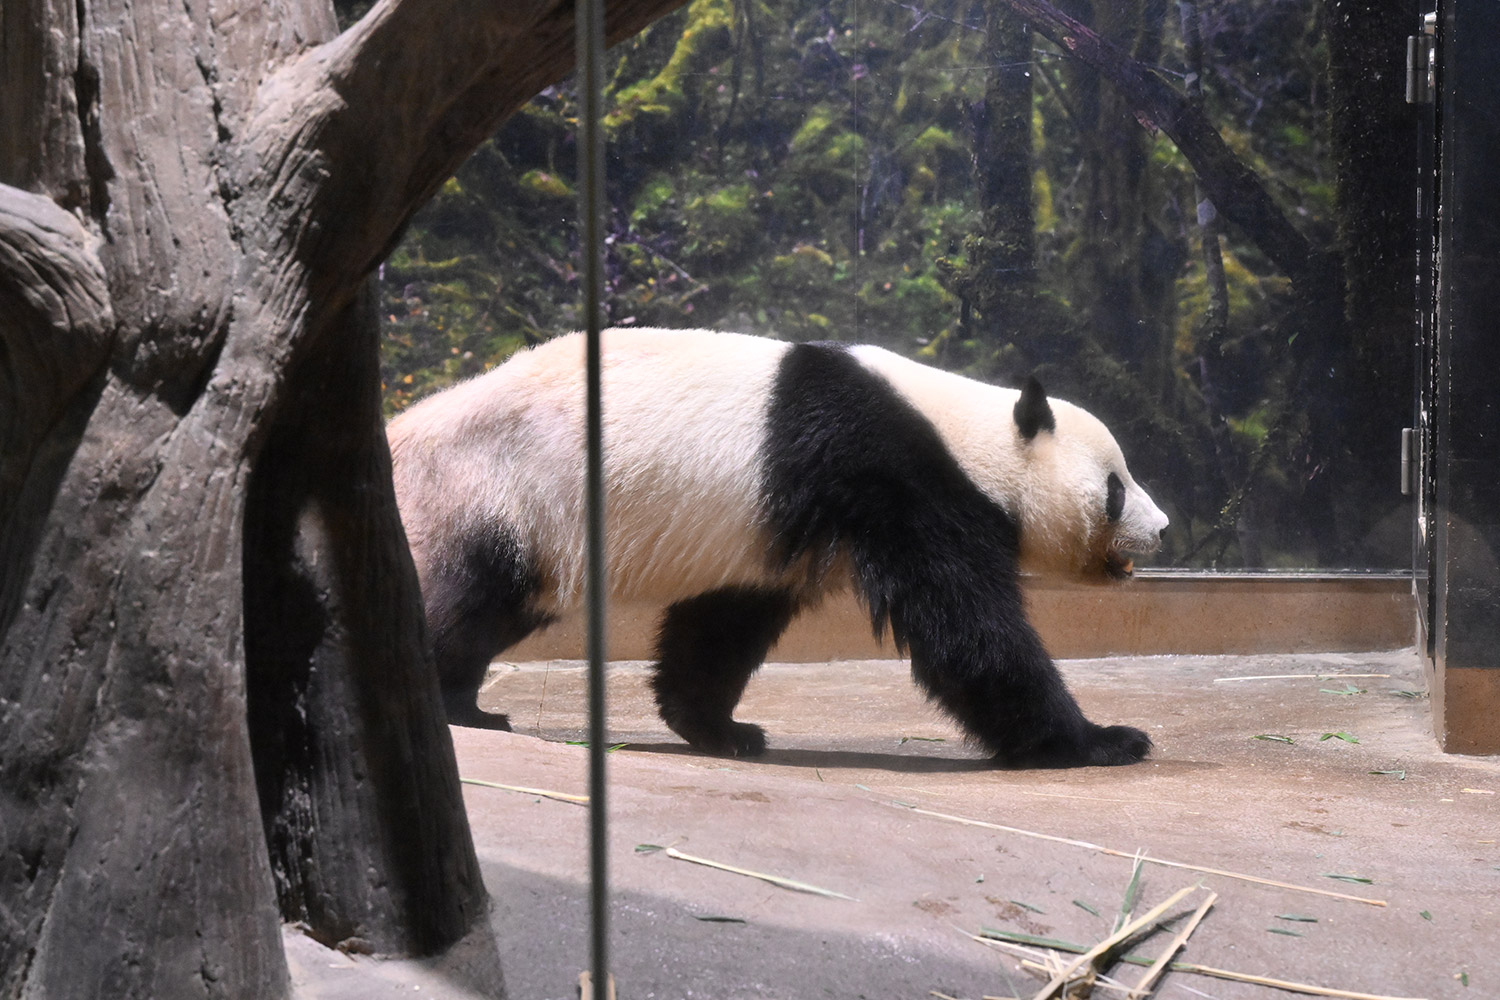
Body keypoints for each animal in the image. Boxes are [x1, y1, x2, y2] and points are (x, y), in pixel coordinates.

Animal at [388, 328, 1169, 768]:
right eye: (1116, 487)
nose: (1162, 528)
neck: (969, 434)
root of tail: (398, 429)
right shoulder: (891, 474)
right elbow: (967, 628)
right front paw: (1102, 741)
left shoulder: (765, 531)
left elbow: (722, 625)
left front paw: (720, 729)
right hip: (499, 489)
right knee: (471, 599)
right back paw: (453, 702)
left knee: (498, 609)